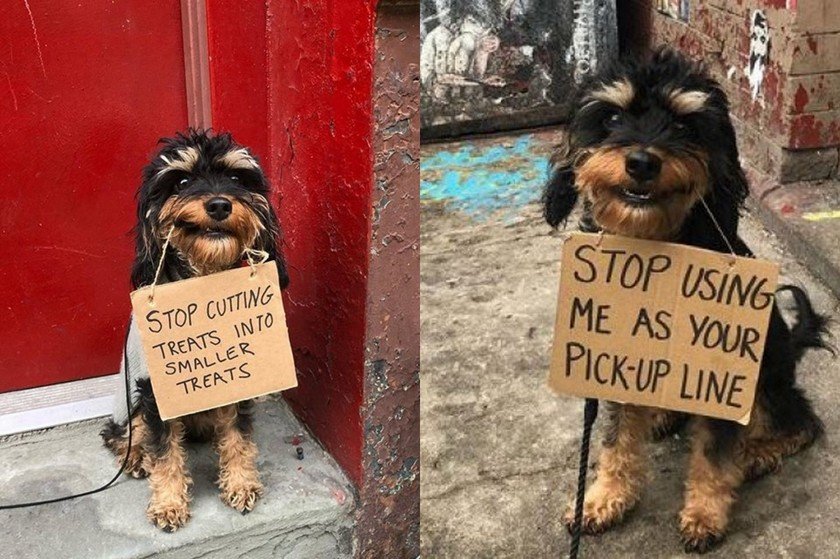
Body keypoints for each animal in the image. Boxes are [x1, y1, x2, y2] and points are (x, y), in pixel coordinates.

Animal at [101, 129, 288, 532]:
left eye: (235, 178)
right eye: (183, 182)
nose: (218, 205)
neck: (205, 281)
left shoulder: (238, 377)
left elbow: (237, 435)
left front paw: (241, 483)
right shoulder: (157, 391)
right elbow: (165, 451)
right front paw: (169, 504)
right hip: (130, 401)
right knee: (122, 433)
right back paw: (136, 457)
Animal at [544, 49, 832, 556]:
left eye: (683, 125)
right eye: (612, 117)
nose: (642, 162)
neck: (655, 247)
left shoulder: (719, 372)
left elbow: (714, 456)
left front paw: (704, 514)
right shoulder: (617, 361)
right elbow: (616, 439)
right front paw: (601, 499)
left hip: (766, 377)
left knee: (800, 421)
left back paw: (755, 454)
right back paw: (663, 417)